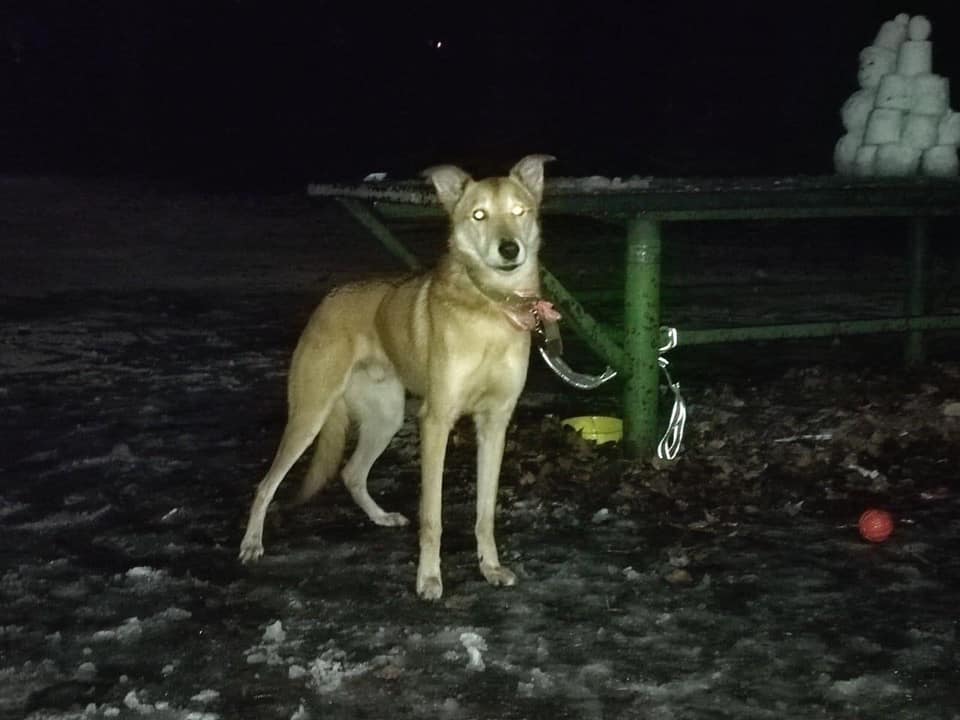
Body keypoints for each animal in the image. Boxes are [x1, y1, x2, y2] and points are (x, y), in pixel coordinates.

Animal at [236, 155, 560, 600]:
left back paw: (381, 517)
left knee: (352, 473)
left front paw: (490, 567)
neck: (491, 307)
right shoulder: (436, 421)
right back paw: (252, 543)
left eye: (519, 211)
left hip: (386, 418)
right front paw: (429, 578)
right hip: (310, 415)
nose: (510, 249)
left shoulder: (495, 423)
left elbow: (485, 513)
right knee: (266, 484)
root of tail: (327, 300)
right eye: (479, 215)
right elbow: (432, 517)